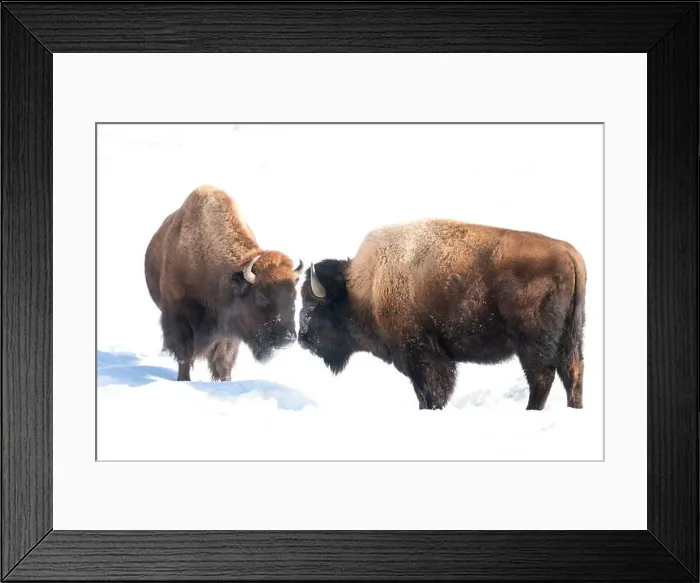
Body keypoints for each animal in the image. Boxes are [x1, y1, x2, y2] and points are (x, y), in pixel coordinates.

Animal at [145, 185, 303, 381]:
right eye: (261, 297)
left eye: (294, 295)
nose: (287, 339)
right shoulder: (179, 318)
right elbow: (185, 355)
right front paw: (184, 380)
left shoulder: (229, 330)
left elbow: (223, 360)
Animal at [298, 218, 586, 410]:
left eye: (315, 306)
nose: (302, 337)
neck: (366, 286)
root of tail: (568, 253)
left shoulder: (421, 355)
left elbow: (430, 392)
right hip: (571, 336)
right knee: (572, 372)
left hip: (532, 341)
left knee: (542, 376)